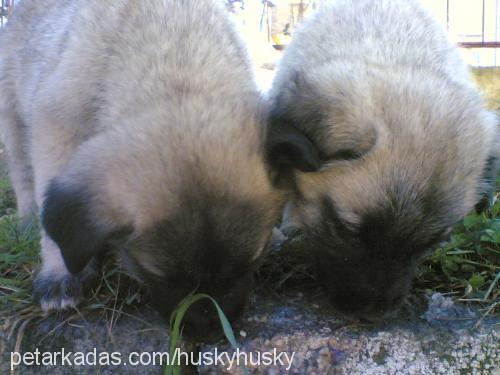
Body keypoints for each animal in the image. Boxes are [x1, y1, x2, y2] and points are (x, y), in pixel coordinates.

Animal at [0, 0, 284, 340]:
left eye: (253, 261)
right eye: (155, 273)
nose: (210, 325)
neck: (177, 73)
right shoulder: (56, 129)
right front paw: (61, 274)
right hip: (12, 117)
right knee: (23, 179)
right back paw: (28, 221)